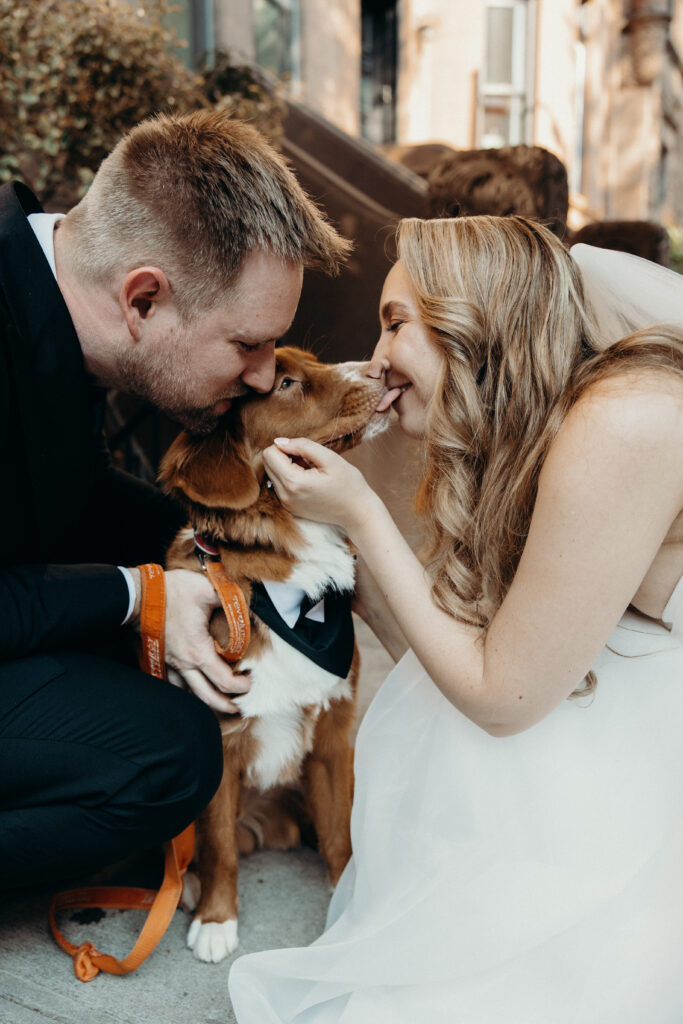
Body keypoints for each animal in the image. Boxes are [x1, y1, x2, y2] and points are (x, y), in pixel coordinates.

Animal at [156, 348, 387, 962]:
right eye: (287, 384)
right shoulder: (219, 739)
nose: (380, 368)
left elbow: (338, 832)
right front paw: (217, 920)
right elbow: (217, 848)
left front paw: (346, 902)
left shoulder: (333, 736)